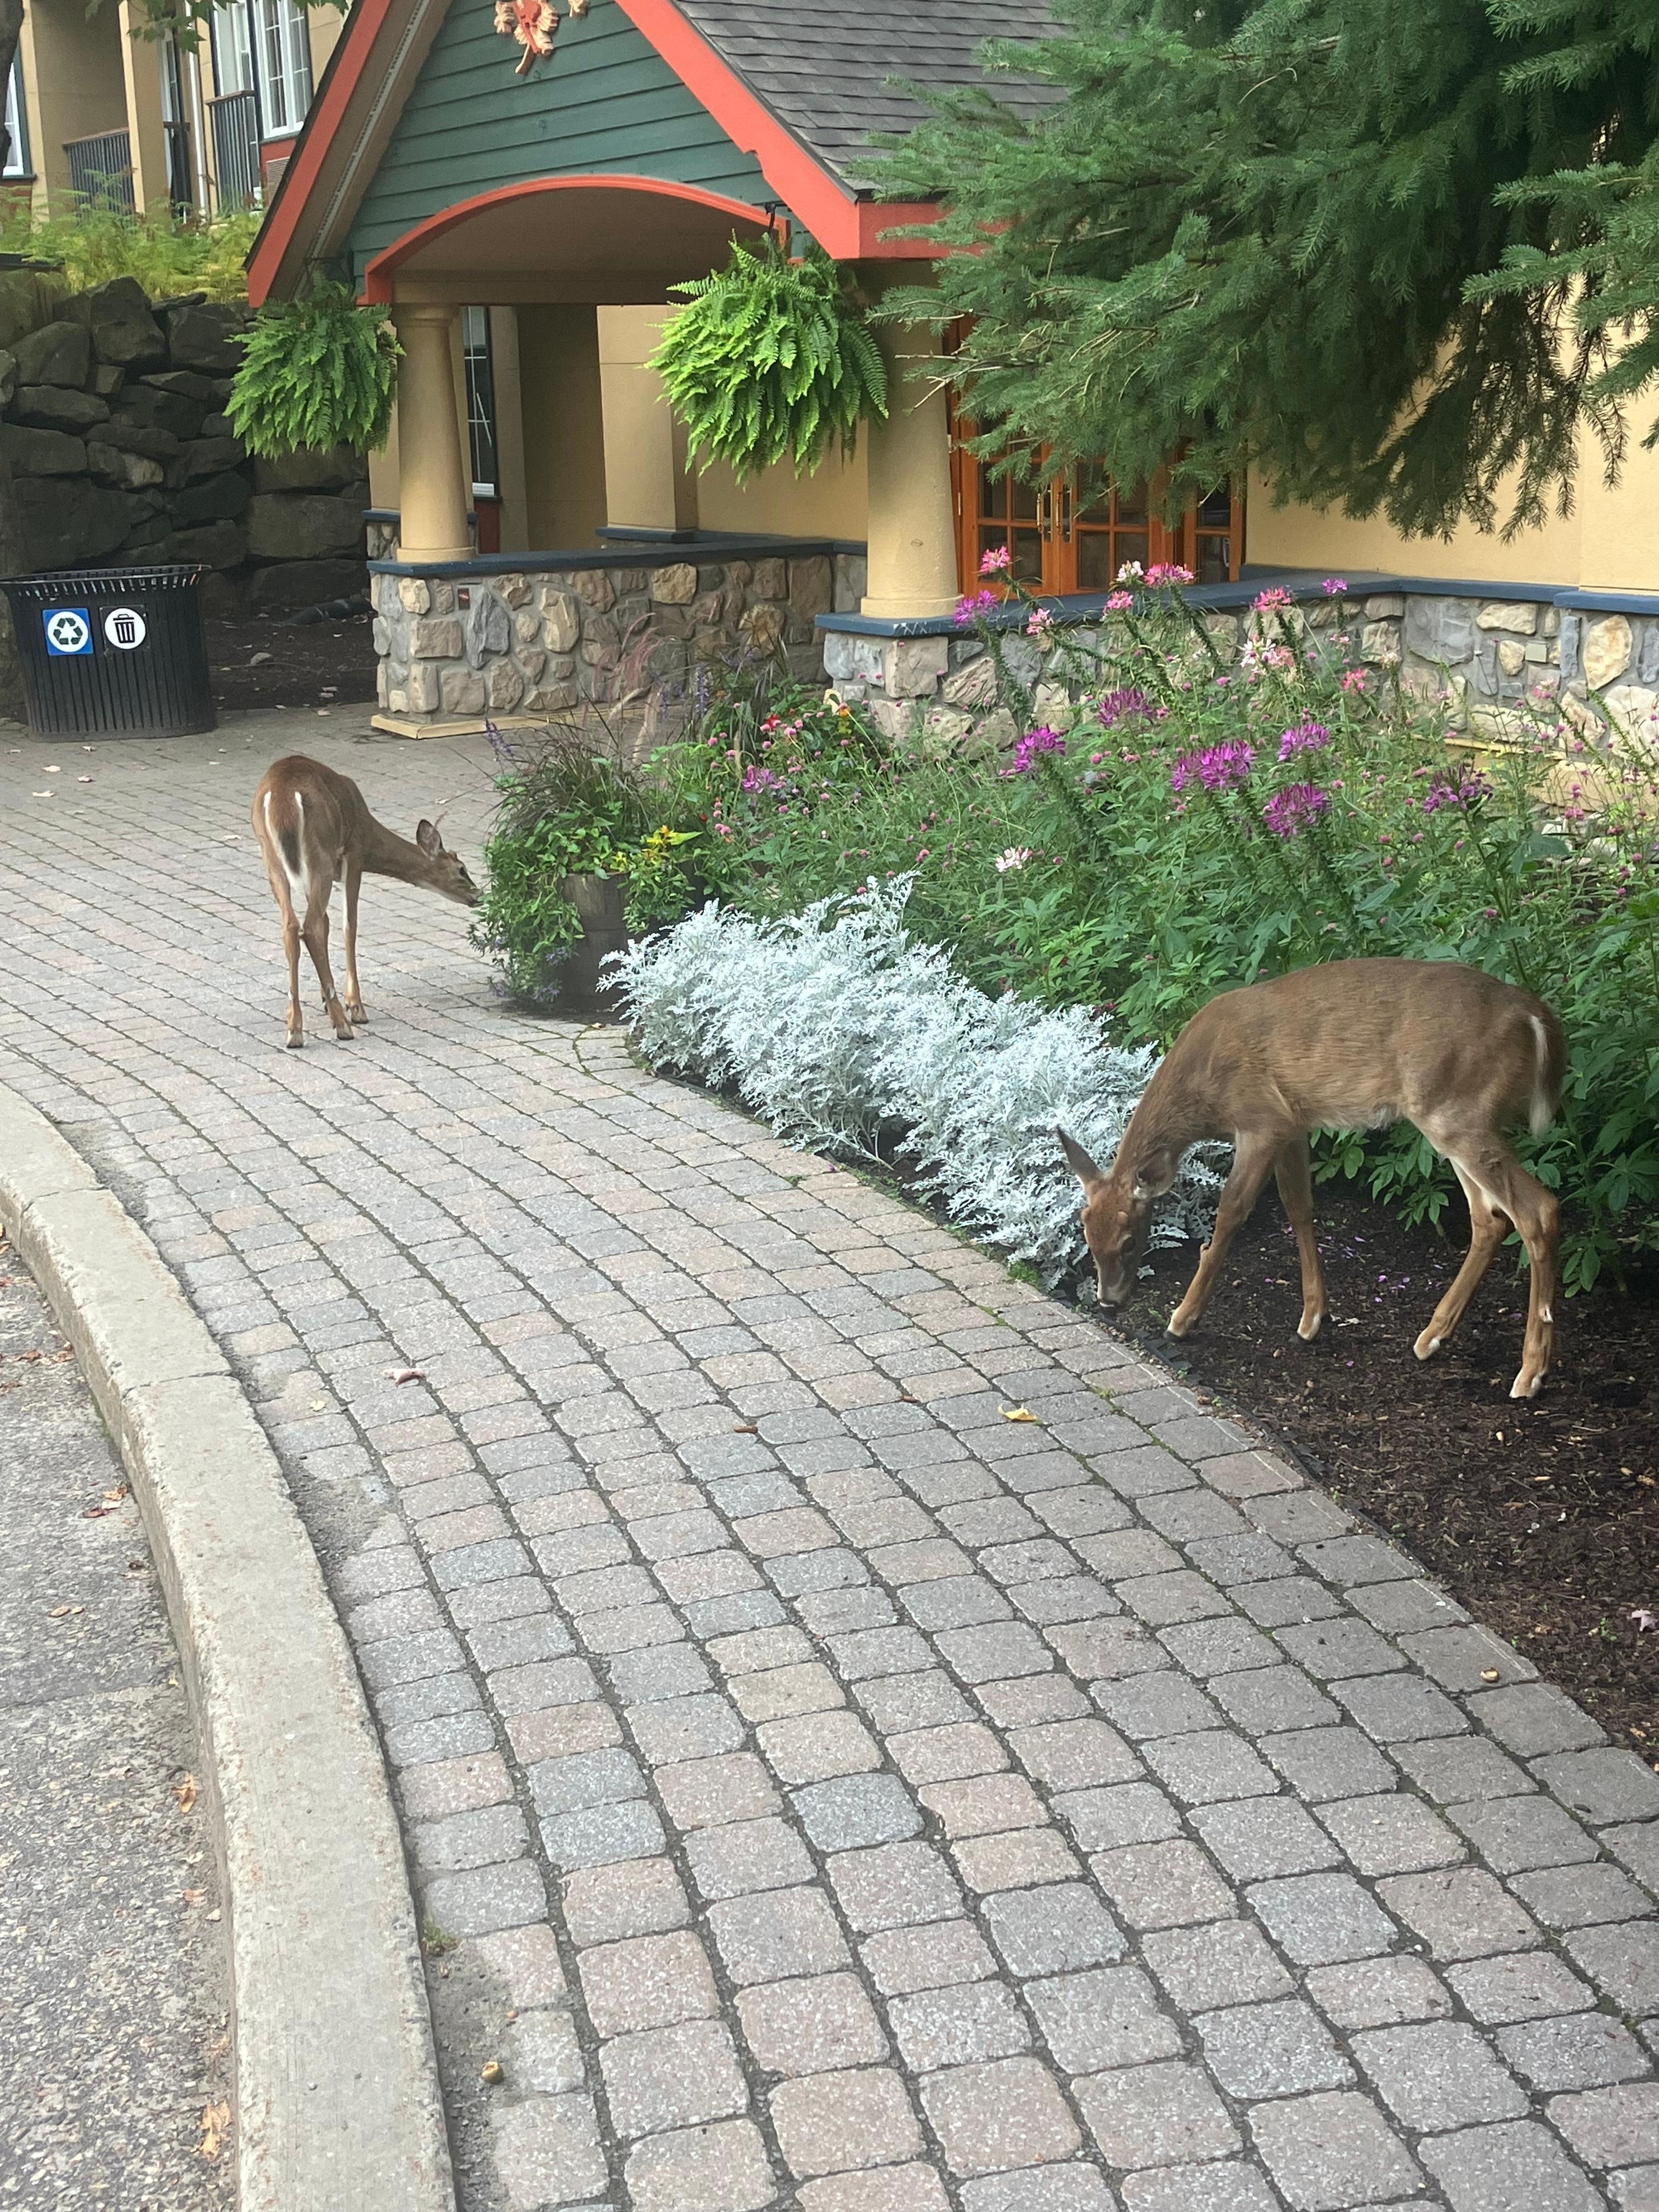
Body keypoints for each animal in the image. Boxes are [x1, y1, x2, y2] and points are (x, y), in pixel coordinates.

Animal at [250, 754, 478, 1050]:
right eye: (461, 869)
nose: (478, 895)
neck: (370, 837)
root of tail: (282, 799)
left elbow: (327, 923)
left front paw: (327, 1001)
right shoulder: (354, 854)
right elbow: (349, 925)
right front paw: (355, 1006)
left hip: (272, 857)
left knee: (293, 926)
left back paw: (295, 1029)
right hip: (320, 854)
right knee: (309, 926)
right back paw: (341, 1026)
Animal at [1058, 959, 1567, 1400]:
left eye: (1129, 1241)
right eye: (1087, 1237)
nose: (1108, 1302)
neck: (1202, 1092)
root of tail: (1534, 1014)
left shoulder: (1261, 1120)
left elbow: (1231, 1211)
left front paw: (1182, 1319)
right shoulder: (1292, 1125)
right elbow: (1299, 1206)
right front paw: (1312, 1319)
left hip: (1456, 1109)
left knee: (1538, 1209)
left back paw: (1530, 1374)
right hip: (1454, 1118)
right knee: (1490, 1218)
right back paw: (1431, 1338)